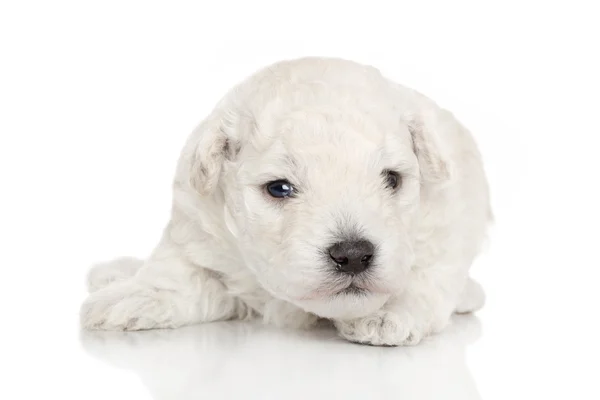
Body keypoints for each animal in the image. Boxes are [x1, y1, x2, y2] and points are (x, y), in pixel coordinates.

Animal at [81, 57, 492, 346]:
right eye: (279, 188)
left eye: (392, 179)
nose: (353, 255)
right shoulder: (198, 223)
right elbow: (178, 272)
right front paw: (135, 296)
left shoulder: (452, 217)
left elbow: (425, 273)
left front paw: (388, 313)